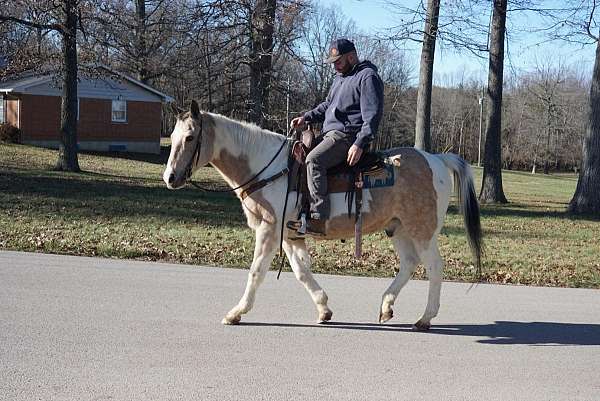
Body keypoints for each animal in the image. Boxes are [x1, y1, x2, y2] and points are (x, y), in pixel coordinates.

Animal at [162, 101, 480, 330]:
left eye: (190, 137)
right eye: (173, 136)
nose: (170, 177)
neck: (269, 168)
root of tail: (436, 159)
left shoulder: (269, 229)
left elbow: (256, 271)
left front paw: (236, 313)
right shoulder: (290, 234)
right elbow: (302, 271)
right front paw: (324, 308)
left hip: (422, 230)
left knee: (434, 267)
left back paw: (425, 318)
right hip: (399, 228)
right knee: (410, 263)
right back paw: (386, 306)